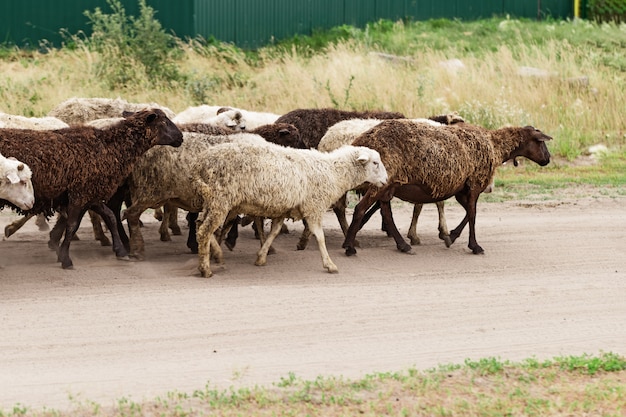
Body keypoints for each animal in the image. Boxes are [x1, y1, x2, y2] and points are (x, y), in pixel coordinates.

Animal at [0, 109, 182, 268]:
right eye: (164, 121)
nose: (181, 137)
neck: (110, 148)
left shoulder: (91, 192)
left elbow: (110, 217)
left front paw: (120, 251)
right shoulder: (81, 194)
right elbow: (73, 225)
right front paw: (65, 259)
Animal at [191, 138, 386, 278]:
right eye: (375, 163)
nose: (385, 180)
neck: (333, 173)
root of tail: (200, 163)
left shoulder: (284, 209)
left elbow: (274, 232)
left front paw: (261, 257)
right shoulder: (314, 206)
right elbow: (320, 237)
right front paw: (329, 264)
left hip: (211, 200)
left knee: (200, 225)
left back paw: (216, 254)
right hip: (220, 199)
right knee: (205, 231)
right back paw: (205, 269)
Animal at [342, 120, 552, 255]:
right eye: (541, 142)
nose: (548, 159)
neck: (495, 146)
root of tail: (363, 140)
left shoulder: (462, 188)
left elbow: (468, 212)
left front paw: (451, 236)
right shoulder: (475, 184)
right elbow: (473, 214)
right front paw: (474, 246)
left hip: (388, 185)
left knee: (385, 211)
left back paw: (403, 246)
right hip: (382, 182)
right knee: (361, 209)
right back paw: (349, 247)